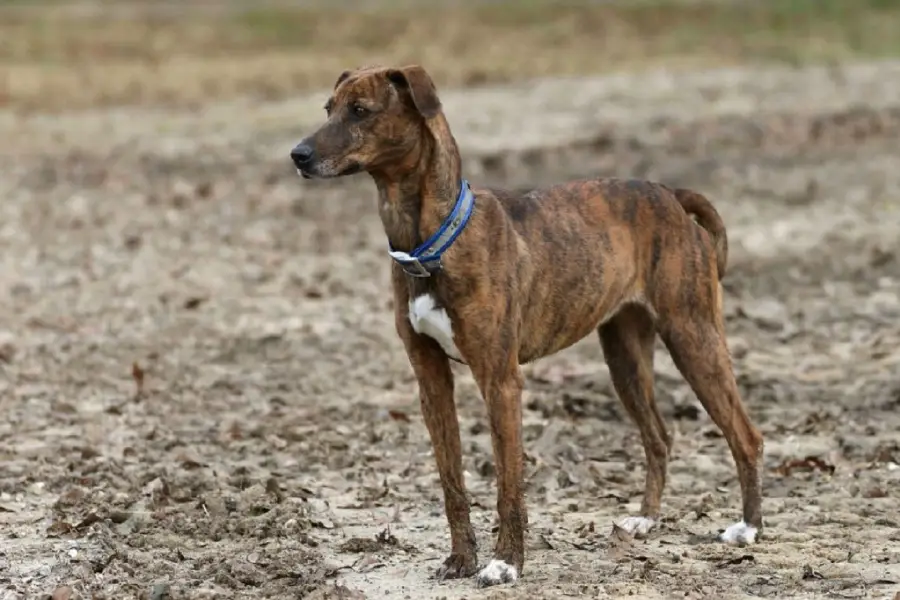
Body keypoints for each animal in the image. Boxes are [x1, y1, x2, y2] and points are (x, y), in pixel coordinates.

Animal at [290, 64, 768, 584]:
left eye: (361, 110)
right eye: (328, 108)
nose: (298, 155)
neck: (432, 240)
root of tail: (672, 196)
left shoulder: (500, 381)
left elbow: (508, 486)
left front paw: (505, 563)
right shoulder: (431, 379)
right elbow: (452, 482)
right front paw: (461, 559)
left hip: (693, 336)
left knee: (746, 436)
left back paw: (747, 528)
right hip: (625, 356)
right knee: (659, 437)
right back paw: (646, 519)